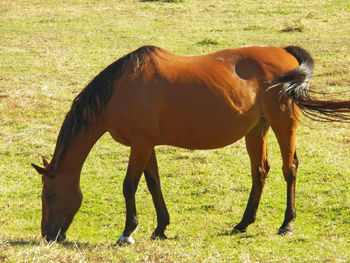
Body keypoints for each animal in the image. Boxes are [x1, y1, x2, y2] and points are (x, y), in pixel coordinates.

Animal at [31, 45, 348, 245]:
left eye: (49, 195)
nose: (48, 235)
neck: (120, 89)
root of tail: (285, 52)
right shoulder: (146, 144)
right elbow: (153, 183)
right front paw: (160, 227)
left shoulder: (140, 144)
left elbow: (129, 185)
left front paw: (127, 232)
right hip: (257, 129)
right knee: (260, 172)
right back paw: (242, 224)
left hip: (284, 124)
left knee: (289, 169)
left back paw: (286, 225)